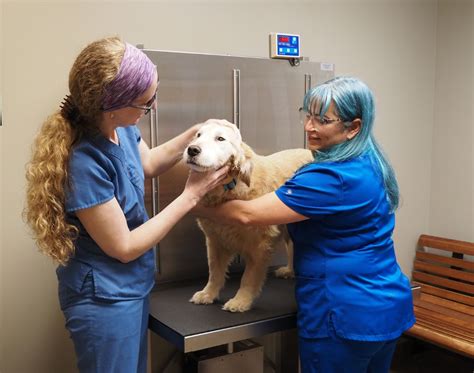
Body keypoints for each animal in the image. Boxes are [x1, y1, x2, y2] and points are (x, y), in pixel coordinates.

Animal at [185, 119, 314, 310]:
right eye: (198, 135)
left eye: (220, 138)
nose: (192, 149)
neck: (229, 188)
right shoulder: (215, 240)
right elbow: (215, 271)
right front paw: (208, 293)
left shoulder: (259, 245)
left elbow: (249, 277)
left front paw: (241, 301)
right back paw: (289, 270)